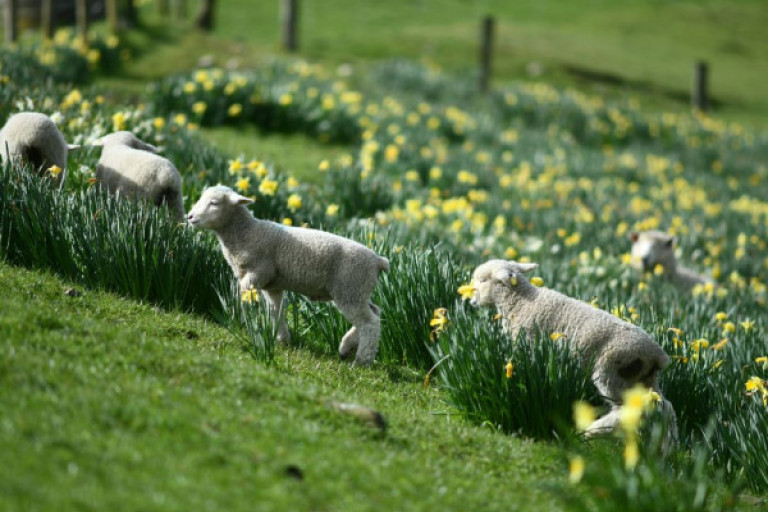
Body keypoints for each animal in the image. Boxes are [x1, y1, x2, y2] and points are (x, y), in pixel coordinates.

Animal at [187, 185, 389, 366]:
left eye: (214, 203)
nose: (189, 217)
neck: (246, 233)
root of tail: (378, 260)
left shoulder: (258, 272)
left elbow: (243, 296)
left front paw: (237, 321)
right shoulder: (272, 285)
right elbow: (276, 310)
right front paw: (282, 338)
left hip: (350, 288)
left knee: (369, 323)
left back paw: (362, 360)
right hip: (358, 291)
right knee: (375, 313)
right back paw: (346, 347)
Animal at [469, 259, 677, 443]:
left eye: (483, 281)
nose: (471, 301)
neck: (518, 302)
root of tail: (659, 356)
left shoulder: (529, 342)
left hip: (612, 372)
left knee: (626, 409)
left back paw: (593, 431)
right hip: (643, 378)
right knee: (665, 407)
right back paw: (667, 448)